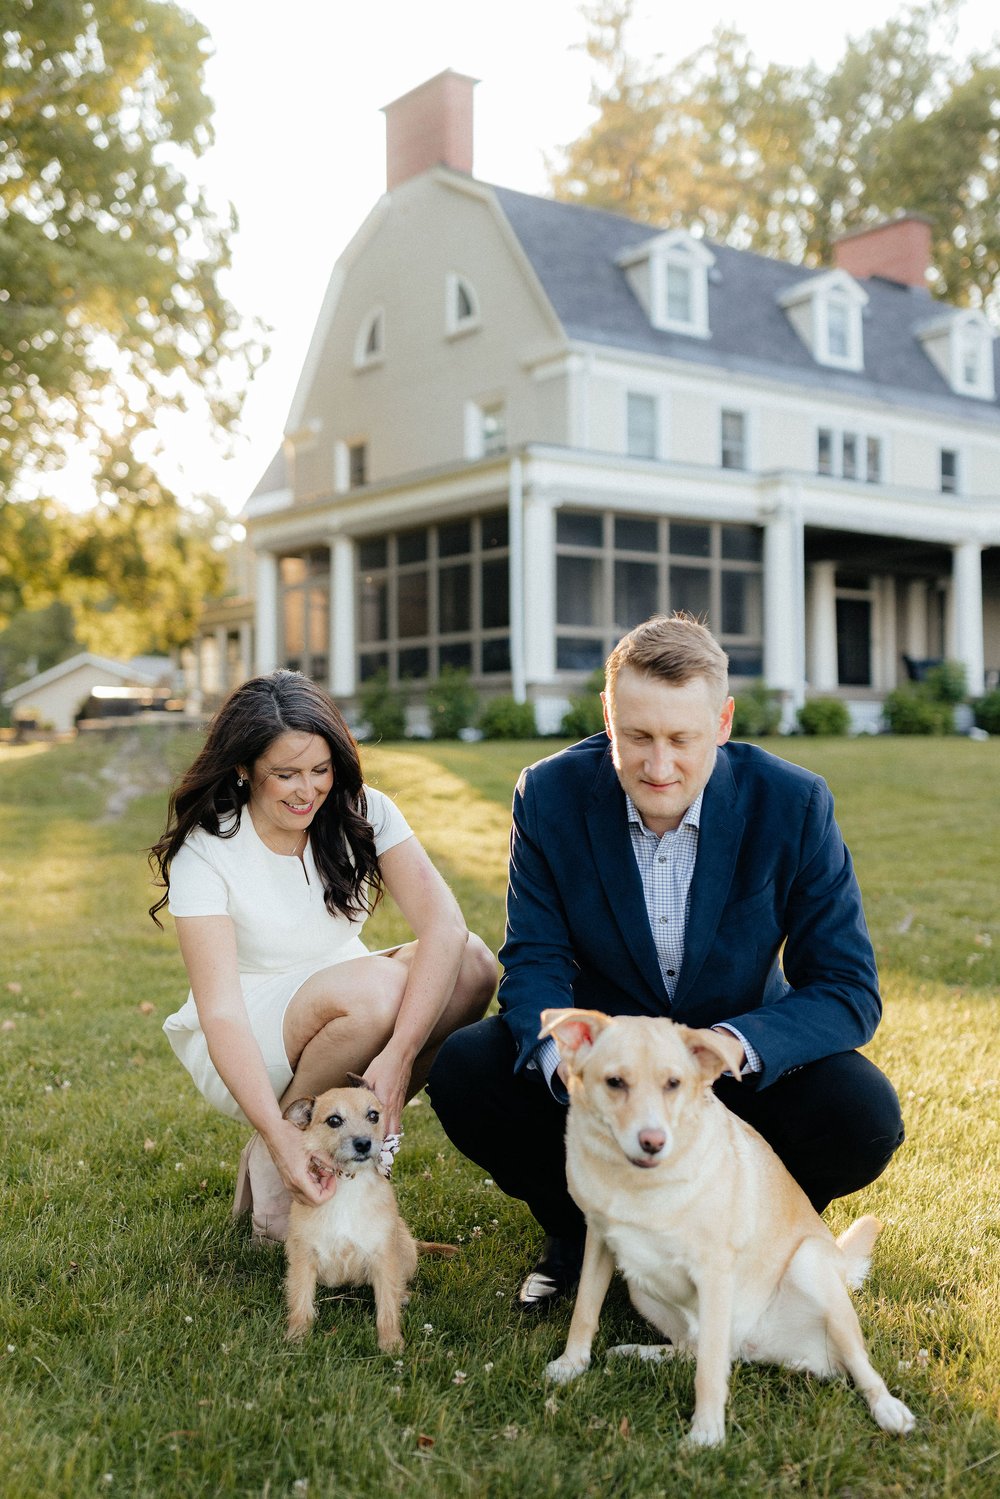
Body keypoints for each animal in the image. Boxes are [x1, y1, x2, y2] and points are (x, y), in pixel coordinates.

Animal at [281, 1079, 452, 1349]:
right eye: (334, 1120)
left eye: (373, 1115)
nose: (363, 1143)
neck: (349, 1182)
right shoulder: (303, 1256)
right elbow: (301, 1301)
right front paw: (297, 1336)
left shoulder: (383, 1256)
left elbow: (387, 1307)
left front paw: (391, 1343)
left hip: (404, 1248)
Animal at [539, 1013, 917, 1445]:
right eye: (615, 1082)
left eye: (674, 1083)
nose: (653, 1142)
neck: (637, 1181)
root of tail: (755, 1346)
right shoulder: (600, 1240)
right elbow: (585, 1310)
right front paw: (571, 1364)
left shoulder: (715, 1274)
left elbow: (708, 1371)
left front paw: (706, 1433)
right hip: (640, 1283)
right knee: (694, 1348)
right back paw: (639, 1353)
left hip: (811, 1266)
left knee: (859, 1365)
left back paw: (888, 1408)